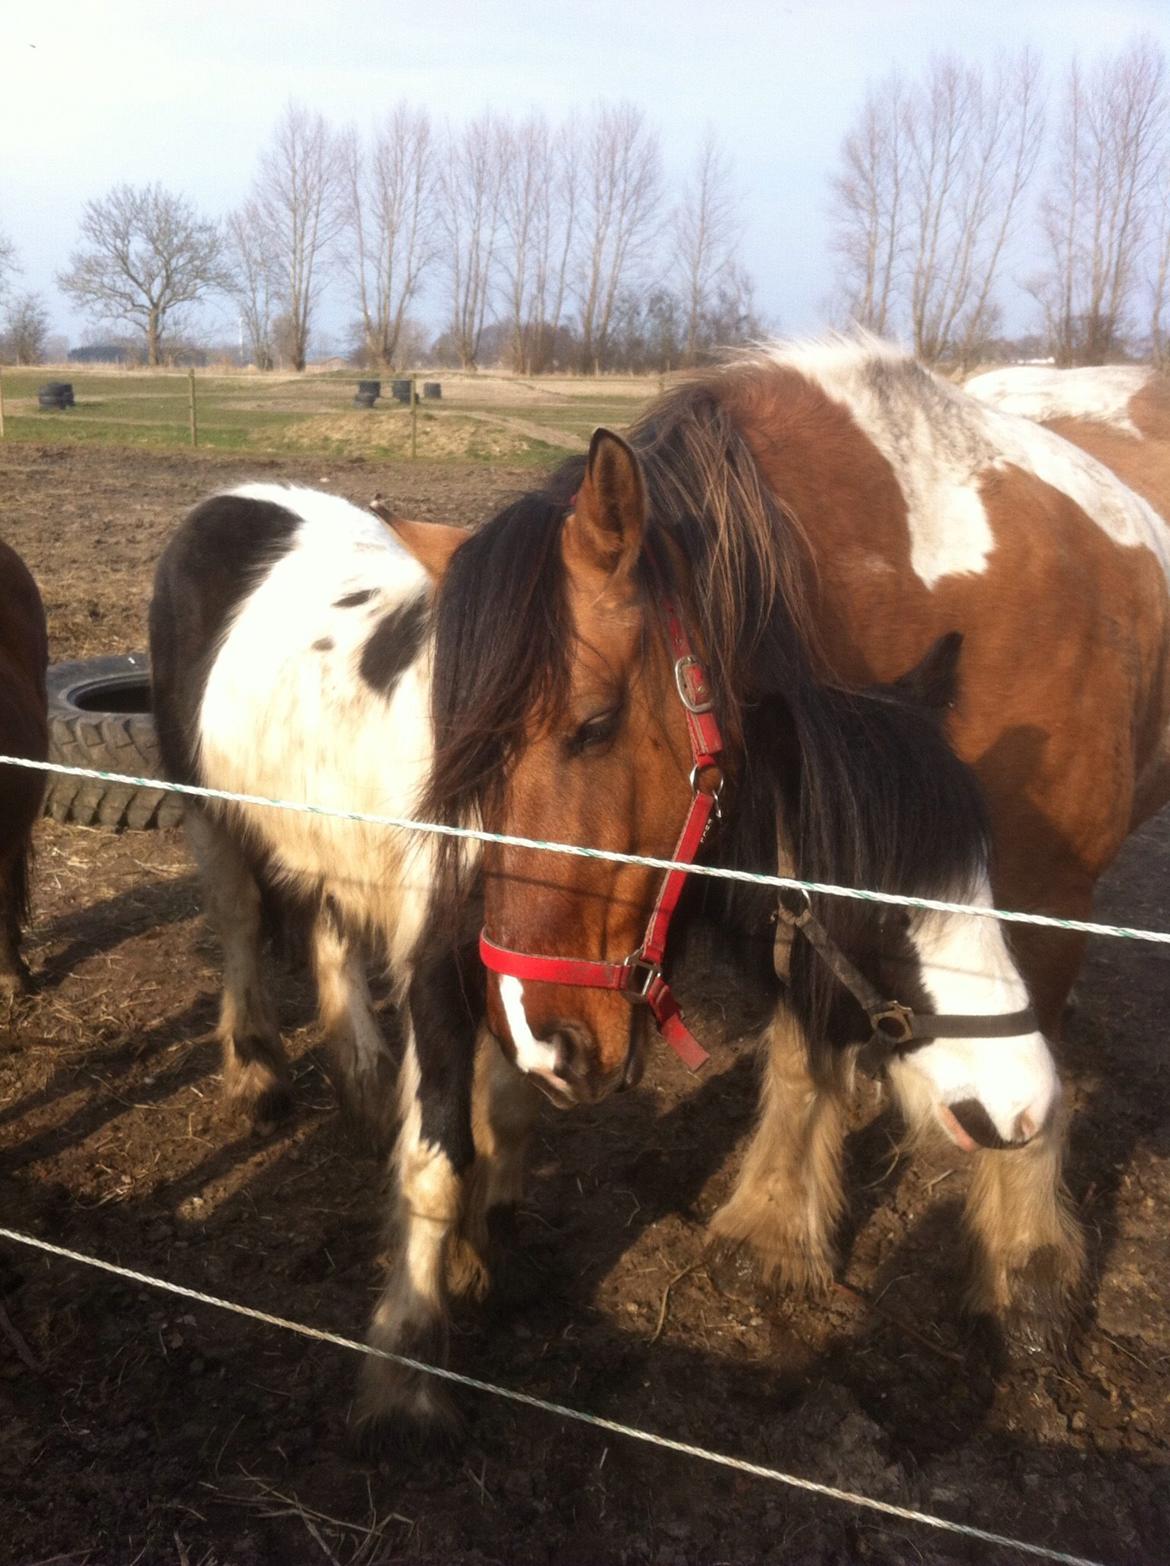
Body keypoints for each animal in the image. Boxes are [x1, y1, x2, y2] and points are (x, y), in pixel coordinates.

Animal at [393, 339, 1170, 1434]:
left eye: (592, 725)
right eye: (469, 759)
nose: (540, 1044)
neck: (921, 588)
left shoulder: (1044, 894)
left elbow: (1036, 1087)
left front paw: (1025, 1274)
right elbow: (806, 1054)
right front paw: (776, 1227)